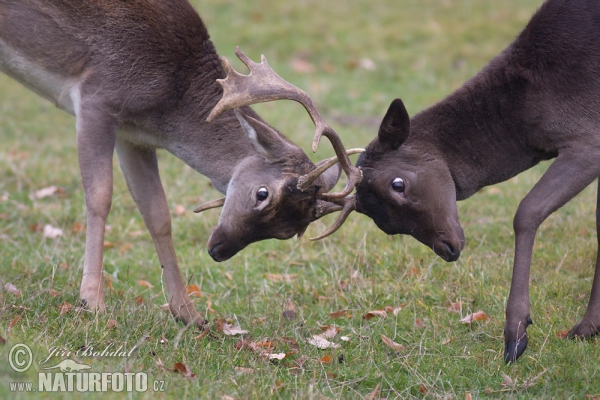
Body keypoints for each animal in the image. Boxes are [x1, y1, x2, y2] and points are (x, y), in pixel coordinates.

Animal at [0, 0, 358, 328]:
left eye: (288, 232)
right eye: (262, 193)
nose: (218, 250)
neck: (168, 102)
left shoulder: (134, 135)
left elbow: (158, 213)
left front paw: (189, 314)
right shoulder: (96, 97)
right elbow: (100, 197)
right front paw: (93, 302)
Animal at [328, 0, 600, 362]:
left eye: (398, 184)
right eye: (386, 226)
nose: (448, 249)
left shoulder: (588, 138)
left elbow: (527, 211)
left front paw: (517, 333)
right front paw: (588, 328)